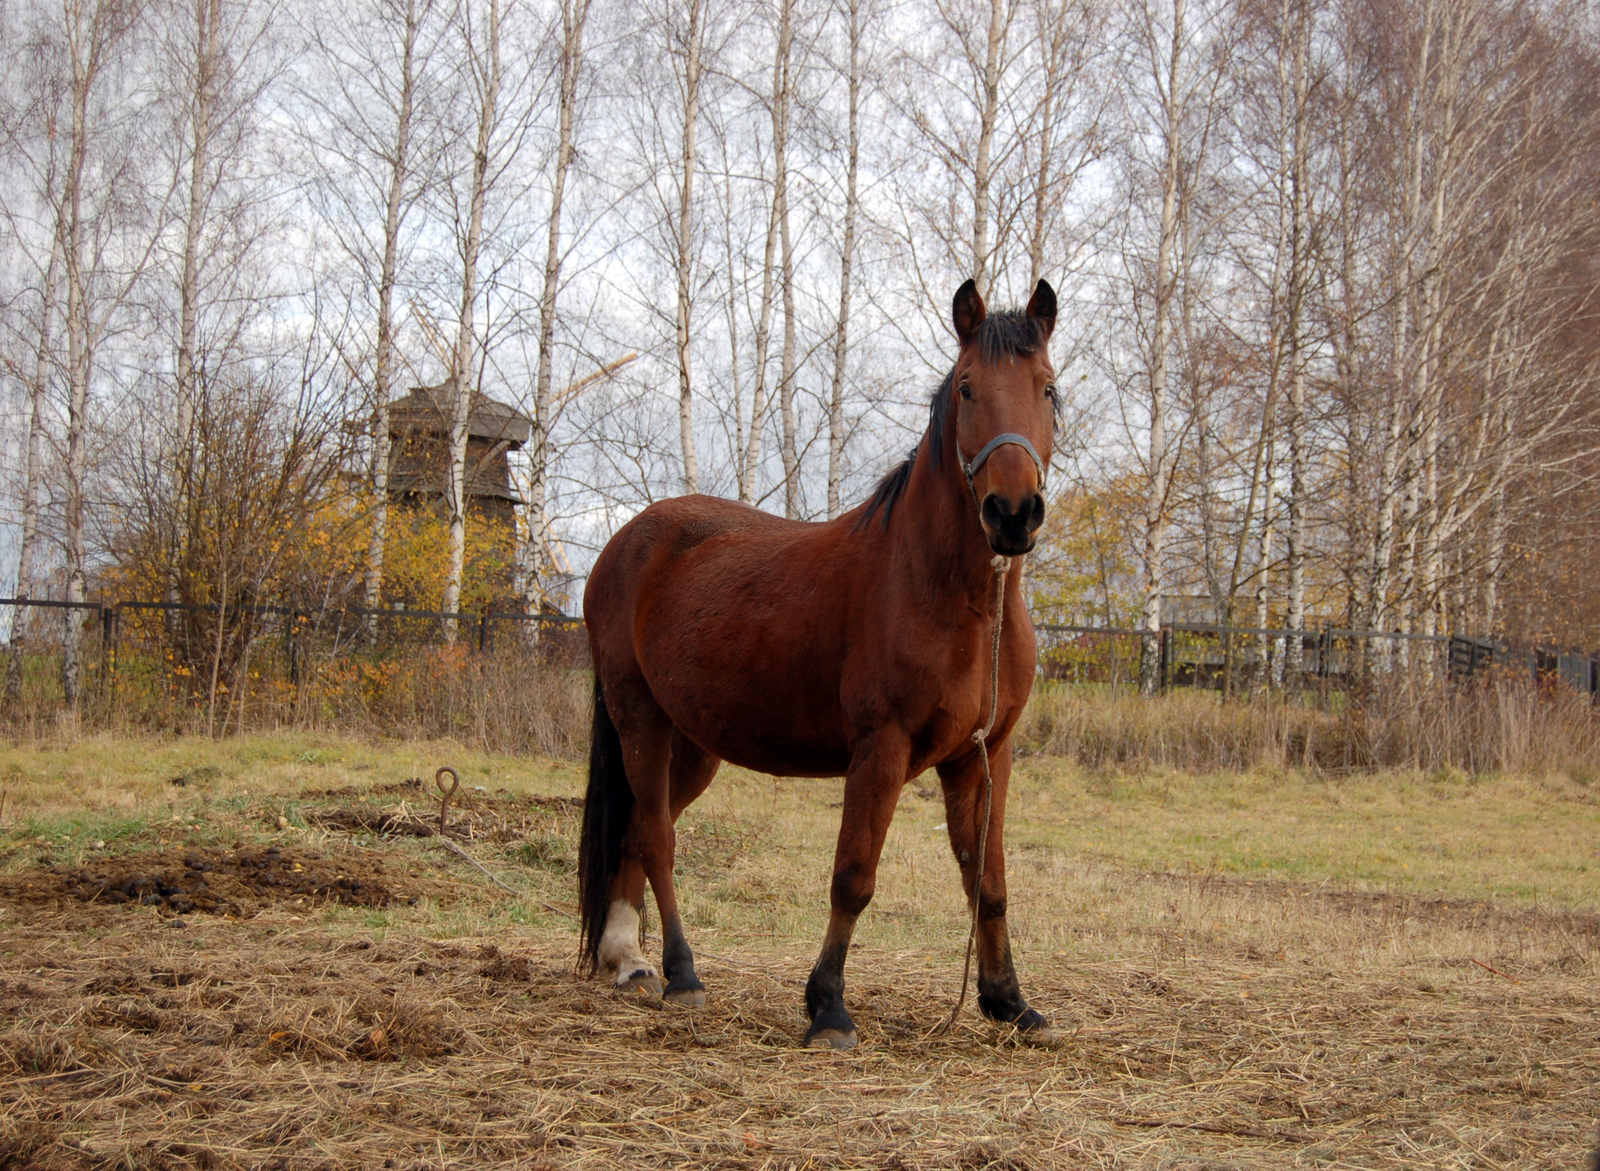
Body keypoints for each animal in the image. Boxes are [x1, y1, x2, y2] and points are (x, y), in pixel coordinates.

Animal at [582, 278, 1056, 1049]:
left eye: (1048, 389)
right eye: (966, 388)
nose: (1012, 512)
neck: (948, 593)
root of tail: (624, 542)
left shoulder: (985, 756)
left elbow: (988, 882)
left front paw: (1009, 1001)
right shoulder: (881, 749)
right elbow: (853, 877)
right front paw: (828, 1007)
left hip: (694, 745)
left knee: (634, 833)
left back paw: (627, 961)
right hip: (640, 723)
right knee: (656, 838)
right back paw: (682, 974)